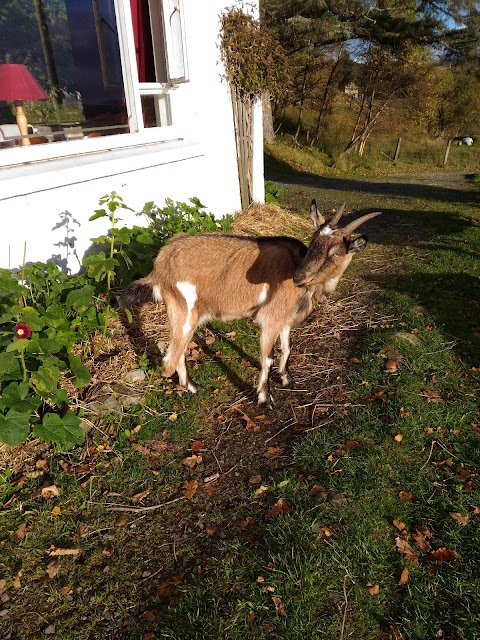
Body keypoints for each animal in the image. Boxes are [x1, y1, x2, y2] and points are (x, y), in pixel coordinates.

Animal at [122, 202, 380, 408]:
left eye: (336, 253)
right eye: (314, 240)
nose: (299, 277)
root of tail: (160, 264)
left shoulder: (284, 320)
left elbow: (287, 348)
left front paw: (287, 378)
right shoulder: (270, 319)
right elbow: (268, 358)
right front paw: (265, 399)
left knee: (180, 351)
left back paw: (192, 386)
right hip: (183, 309)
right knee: (170, 359)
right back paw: (190, 386)